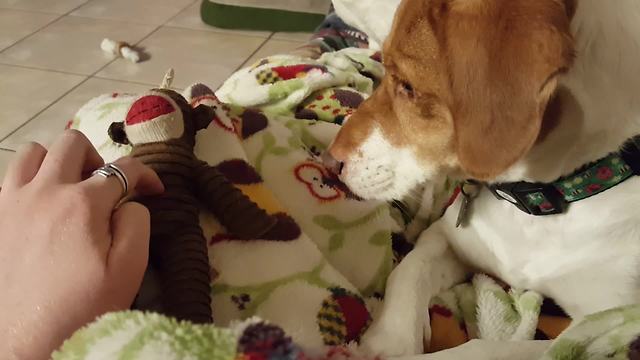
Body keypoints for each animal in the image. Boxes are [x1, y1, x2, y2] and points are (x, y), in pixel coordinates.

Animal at [322, 0, 640, 354]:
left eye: (408, 86)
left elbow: (485, 349)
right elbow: (407, 270)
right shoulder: (446, 239)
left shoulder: (608, 326)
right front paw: (387, 343)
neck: (536, 203)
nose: (329, 159)